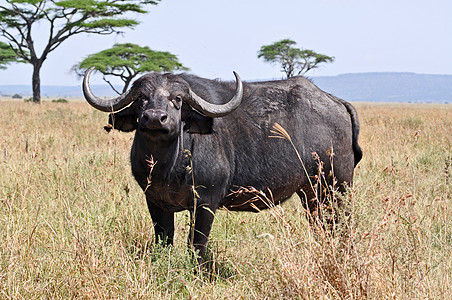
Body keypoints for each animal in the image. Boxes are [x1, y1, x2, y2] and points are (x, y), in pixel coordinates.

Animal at [82, 68, 364, 260]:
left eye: (177, 99)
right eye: (142, 98)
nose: (154, 118)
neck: (168, 166)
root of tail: (336, 102)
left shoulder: (206, 202)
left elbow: (197, 244)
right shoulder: (154, 200)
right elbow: (164, 239)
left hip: (336, 189)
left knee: (342, 227)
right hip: (312, 193)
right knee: (322, 227)